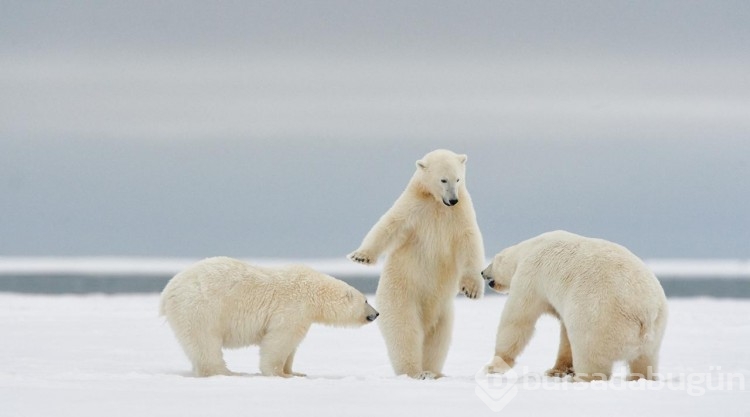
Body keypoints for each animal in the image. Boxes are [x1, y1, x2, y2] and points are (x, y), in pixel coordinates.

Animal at [161, 256, 378, 376]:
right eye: (366, 300)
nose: (376, 313)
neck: (314, 291)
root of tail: (167, 291)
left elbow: (292, 346)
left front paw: (295, 372)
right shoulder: (293, 307)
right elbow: (280, 340)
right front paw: (280, 374)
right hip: (201, 308)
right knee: (205, 342)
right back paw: (226, 372)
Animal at [348, 150, 484, 380]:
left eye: (458, 179)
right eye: (443, 179)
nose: (453, 199)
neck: (437, 203)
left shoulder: (460, 214)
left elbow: (469, 242)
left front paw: (472, 289)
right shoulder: (414, 207)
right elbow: (389, 225)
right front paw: (361, 256)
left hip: (444, 312)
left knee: (438, 339)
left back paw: (433, 372)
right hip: (402, 296)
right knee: (405, 332)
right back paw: (415, 372)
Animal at [484, 231, 672, 380]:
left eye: (492, 261)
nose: (482, 272)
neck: (531, 246)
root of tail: (645, 312)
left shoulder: (530, 276)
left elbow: (518, 318)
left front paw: (494, 365)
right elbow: (565, 333)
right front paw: (557, 370)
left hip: (599, 319)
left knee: (590, 354)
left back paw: (581, 378)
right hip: (656, 331)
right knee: (645, 360)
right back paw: (639, 378)